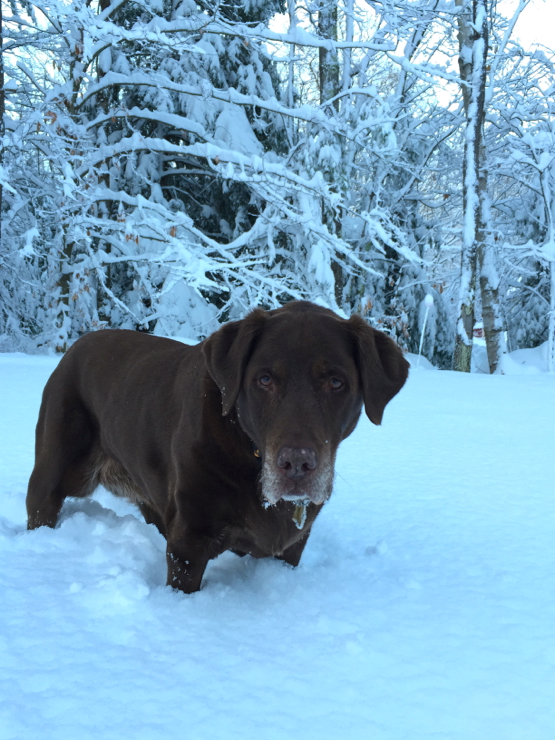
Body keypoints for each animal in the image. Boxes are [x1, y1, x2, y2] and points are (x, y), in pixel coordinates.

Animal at [26, 300, 408, 588]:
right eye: (264, 379)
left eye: (336, 382)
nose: (296, 464)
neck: (249, 454)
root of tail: (75, 346)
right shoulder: (188, 543)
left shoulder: (292, 547)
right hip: (55, 470)